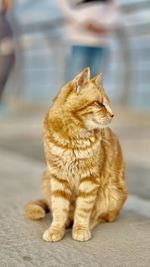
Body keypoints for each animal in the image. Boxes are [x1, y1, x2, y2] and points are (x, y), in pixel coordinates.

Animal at [24, 67, 127, 243]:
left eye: (108, 104)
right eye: (100, 104)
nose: (113, 114)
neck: (72, 137)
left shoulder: (90, 179)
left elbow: (83, 210)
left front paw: (80, 229)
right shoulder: (58, 178)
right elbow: (59, 209)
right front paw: (56, 228)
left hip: (113, 192)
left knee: (103, 216)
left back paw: (89, 223)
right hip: (47, 179)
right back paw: (67, 222)